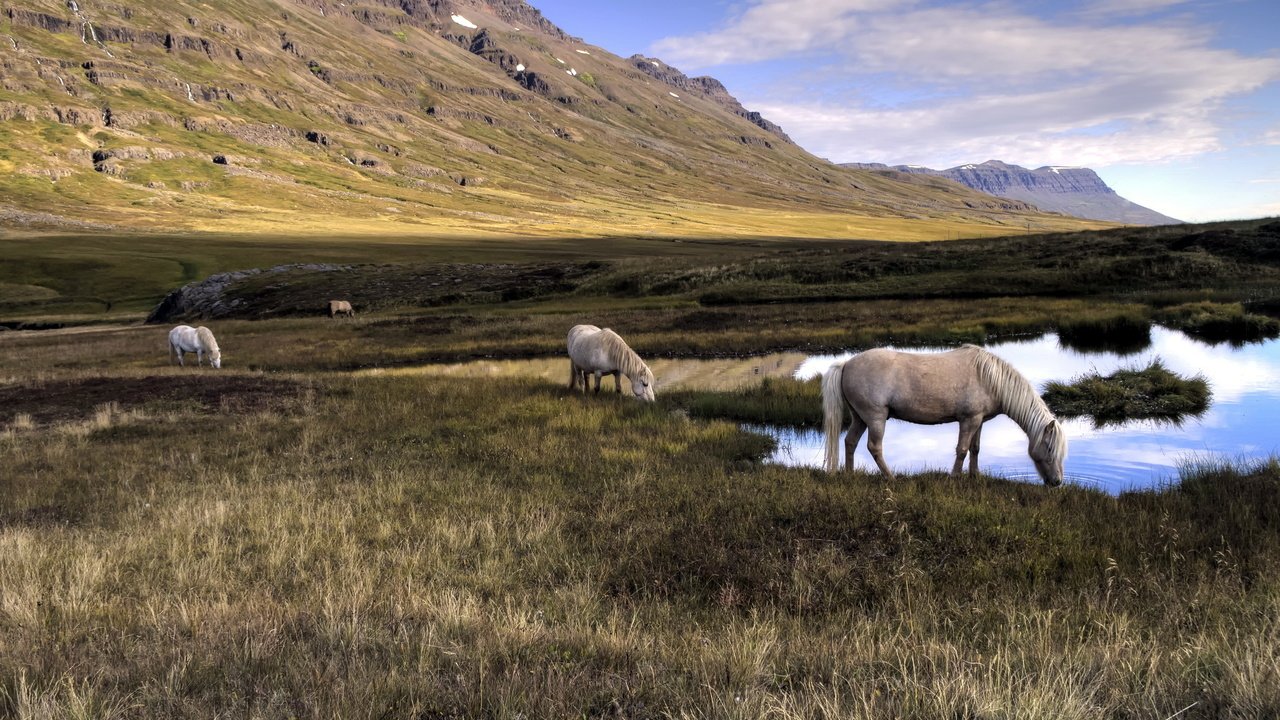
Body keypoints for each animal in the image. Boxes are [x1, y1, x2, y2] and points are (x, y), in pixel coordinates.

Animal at [824, 343, 1064, 486]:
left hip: (860, 418)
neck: (989, 379)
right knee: (874, 447)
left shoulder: (979, 420)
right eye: (1049, 448)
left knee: (850, 442)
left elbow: (975, 449)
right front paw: (955, 478)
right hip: (876, 418)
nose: (1057, 481)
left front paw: (975, 476)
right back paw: (892, 479)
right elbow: (962, 450)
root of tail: (846, 364)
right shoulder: (968, 420)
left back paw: (850, 475)